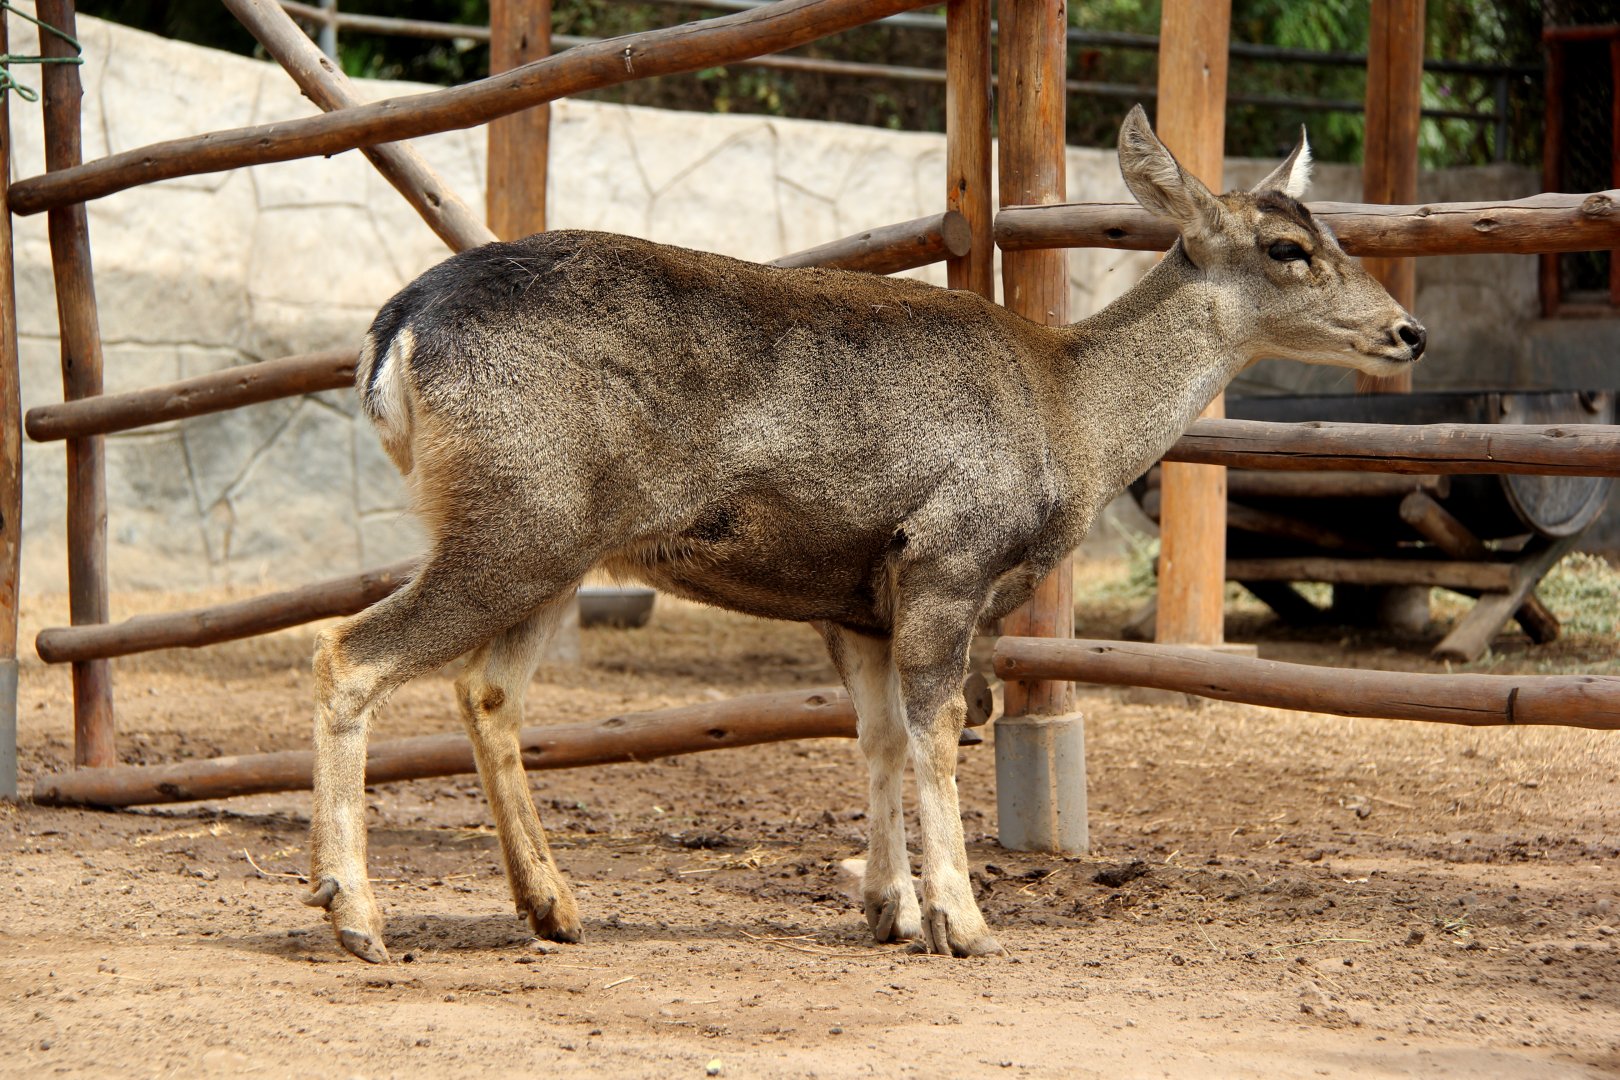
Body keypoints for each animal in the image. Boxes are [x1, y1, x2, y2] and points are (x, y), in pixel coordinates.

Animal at [302, 105, 1425, 963]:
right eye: (1287, 248)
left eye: (1334, 233)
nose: (1408, 330)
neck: (1073, 421)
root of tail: (395, 332)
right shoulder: (948, 552)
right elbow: (940, 727)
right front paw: (963, 921)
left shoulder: (852, 595)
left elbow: (877, 734)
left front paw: (887, 909)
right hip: (518, 516)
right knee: (349, 651)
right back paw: (354, 914)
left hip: (553, 542)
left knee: (487, 690)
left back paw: (552, 906)